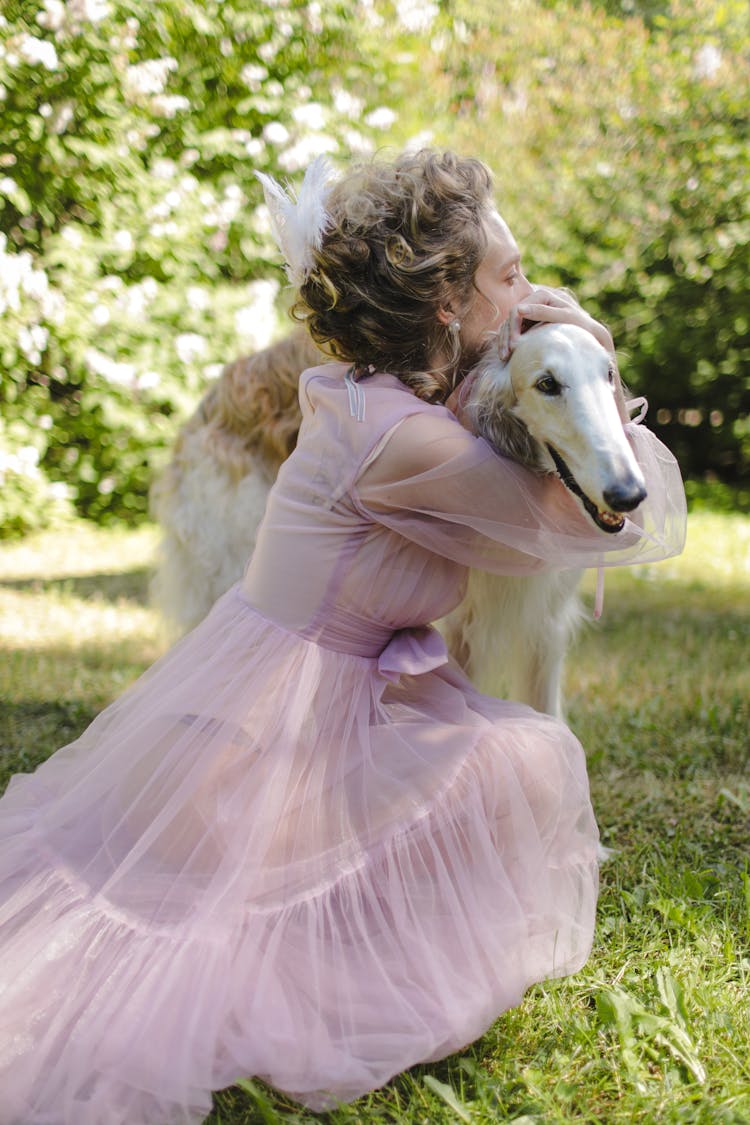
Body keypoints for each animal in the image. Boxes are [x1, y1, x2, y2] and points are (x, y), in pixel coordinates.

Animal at [152, 324, 647, 720]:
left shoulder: (544, 624)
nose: (630, 493)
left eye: (608, 375)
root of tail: (214, 396)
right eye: (547, 383)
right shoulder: (461, 626)